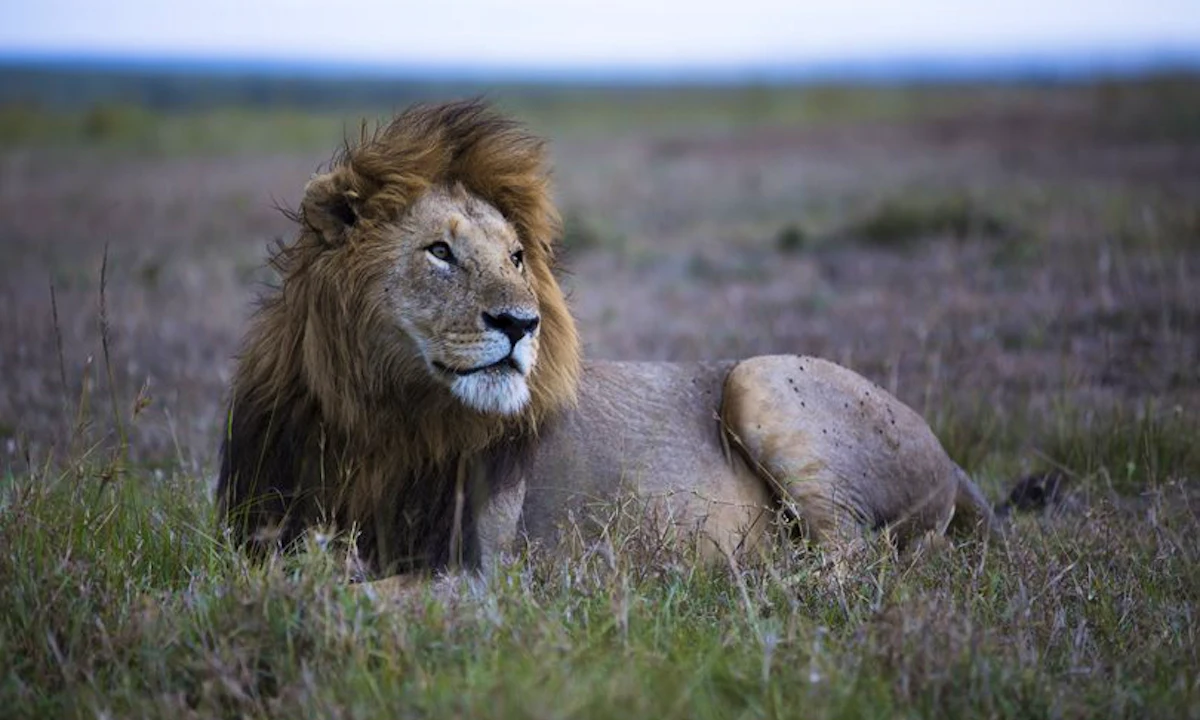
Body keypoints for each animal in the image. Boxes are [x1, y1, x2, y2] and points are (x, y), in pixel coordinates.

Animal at [217, 100, 1000, 585]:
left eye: (516, 259)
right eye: (440, 252)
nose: (521, 324)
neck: (375, 422)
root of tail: (952, 458)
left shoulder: (470, 578)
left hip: (761, 380)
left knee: (858, 560)